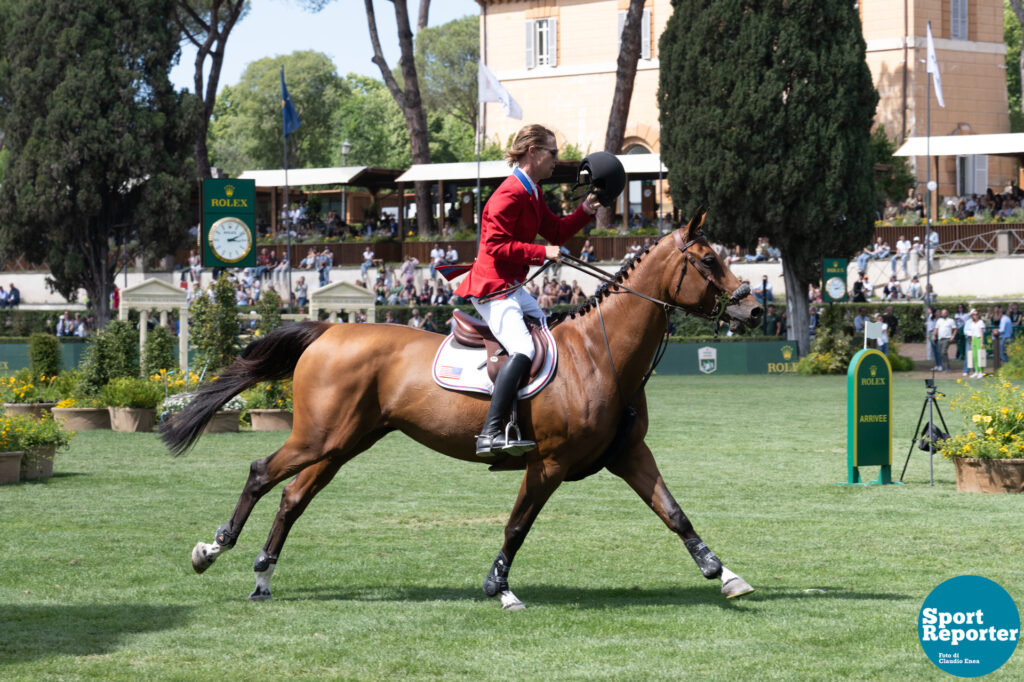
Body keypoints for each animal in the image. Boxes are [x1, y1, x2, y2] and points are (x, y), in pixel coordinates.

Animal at [161, 212, 761, 606]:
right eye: (709, 260)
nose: (753, 309)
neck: (600, 353)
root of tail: (330, 331)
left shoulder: (628, 454)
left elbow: (674, 513)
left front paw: (723, 573)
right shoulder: (548, 463)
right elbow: (517, 525)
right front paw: (500, 587)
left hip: (343, 443)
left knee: (292, 497)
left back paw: (263, 578)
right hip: (318, 438)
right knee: (262, 473)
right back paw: (212, 549)